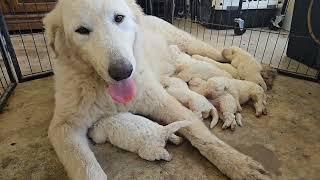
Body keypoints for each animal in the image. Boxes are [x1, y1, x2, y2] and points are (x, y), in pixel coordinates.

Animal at [43, 0, 270, 179]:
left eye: (118, 18)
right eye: (81, 30)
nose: (122, 71)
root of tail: (151, 15)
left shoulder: (163, 102)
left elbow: (203, 137)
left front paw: (238, 165)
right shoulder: (64, 127)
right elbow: (86, 168)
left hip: (195, 46)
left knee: (223, 55)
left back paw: (261, 74)